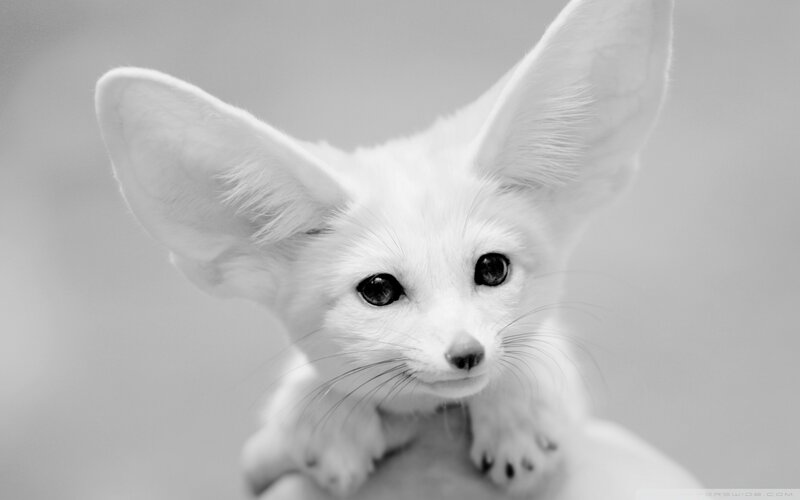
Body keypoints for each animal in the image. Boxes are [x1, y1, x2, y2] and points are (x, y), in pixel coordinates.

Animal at [95, 0, 673, 496]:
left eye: (492, 268)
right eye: (378, 289)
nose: (467, 353)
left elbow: (534, 354)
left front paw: (517, 412)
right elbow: (311, 389)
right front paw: (327, 420)